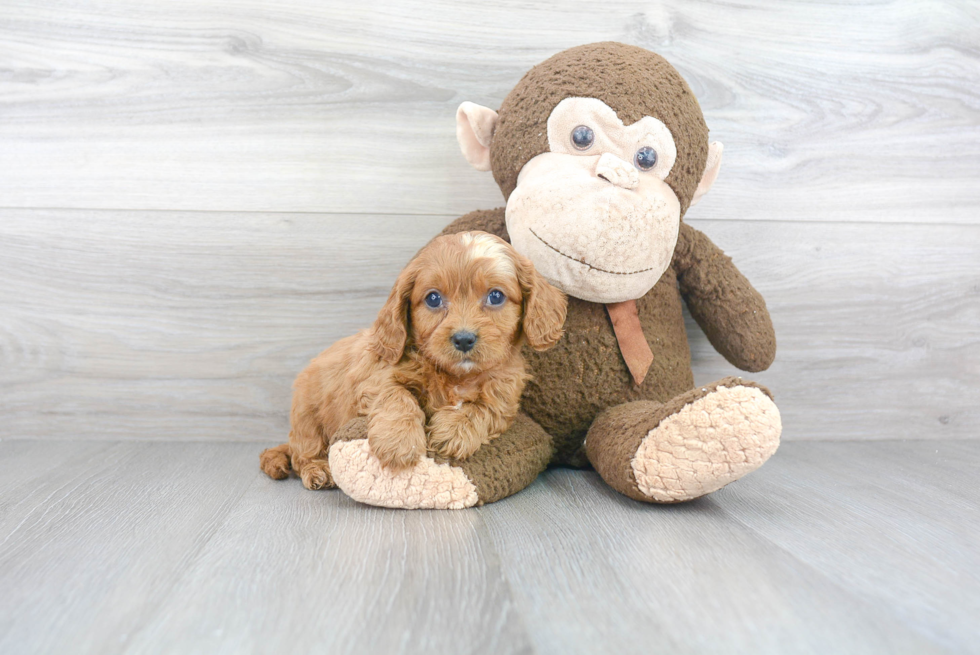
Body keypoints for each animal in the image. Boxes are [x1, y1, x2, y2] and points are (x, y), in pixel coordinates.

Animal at [260, 232, 568, 492]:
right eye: (433, 299)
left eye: (495, 296)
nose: (464, 339)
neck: (455, 376)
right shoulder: (377, 378)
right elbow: (397, 397)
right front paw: (398, 442)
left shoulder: (504, 393)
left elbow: (483, 407)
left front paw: (455, 430)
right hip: (307, 416)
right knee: (302, 453)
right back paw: (317, 469)